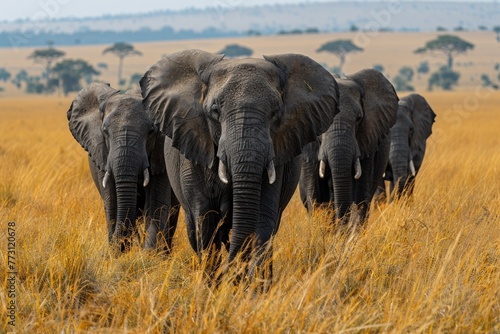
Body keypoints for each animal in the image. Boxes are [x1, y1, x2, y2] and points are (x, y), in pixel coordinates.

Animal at [67, 81, 179, 253]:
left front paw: (147, 256)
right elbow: (112, 203)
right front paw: (116, 253)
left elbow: (157, 205)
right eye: (105, 131)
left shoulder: (160, 155)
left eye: (151, 131)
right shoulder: (103, 156)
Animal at [139, 49, 338, 284]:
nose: (231, 272)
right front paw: (213, 287)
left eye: (275, 112)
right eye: (215, 111)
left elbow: (262, 221)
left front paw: (251, 286)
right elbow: (205, 222)